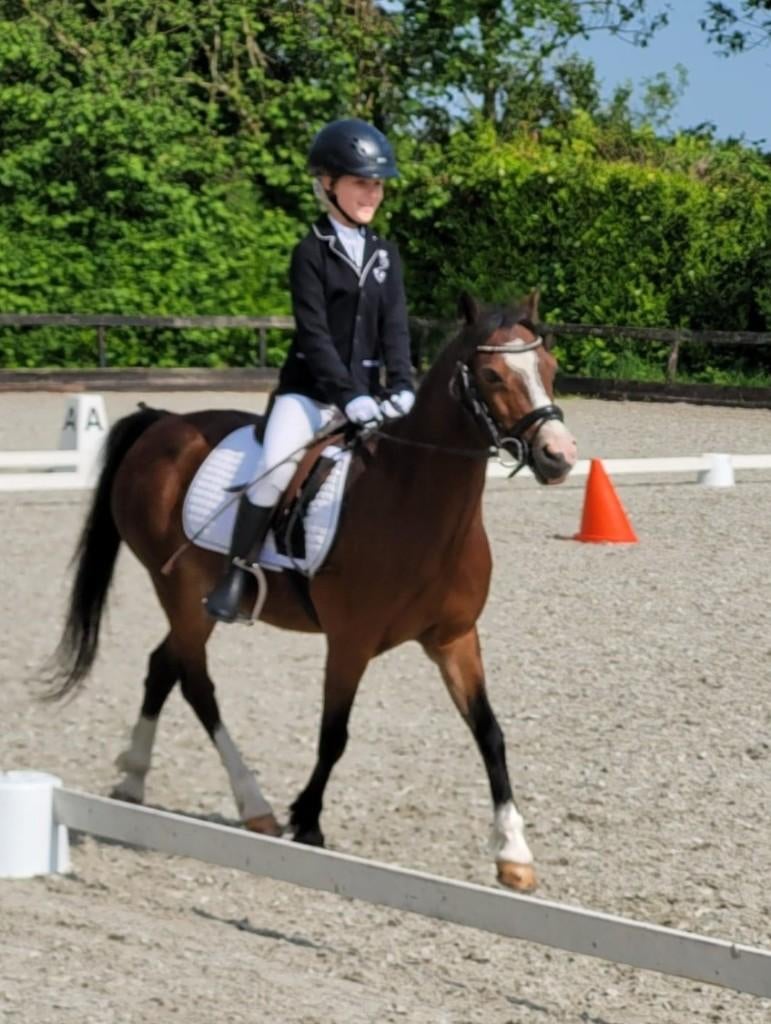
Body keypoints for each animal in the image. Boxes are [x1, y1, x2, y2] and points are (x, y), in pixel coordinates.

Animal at [46, 291, 577, 891]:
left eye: (550, 368)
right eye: (491, 374)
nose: (558, 455)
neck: (416, 503)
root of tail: (164, 424)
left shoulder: (454, 638)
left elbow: (490, 732)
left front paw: (514, 853)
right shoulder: (350, 642)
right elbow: (334, 734)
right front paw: (308, 822)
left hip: (185, 603)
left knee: (164, 666)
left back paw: (134, 781)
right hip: (181, 592)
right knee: (195, 682)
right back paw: (254, 805)